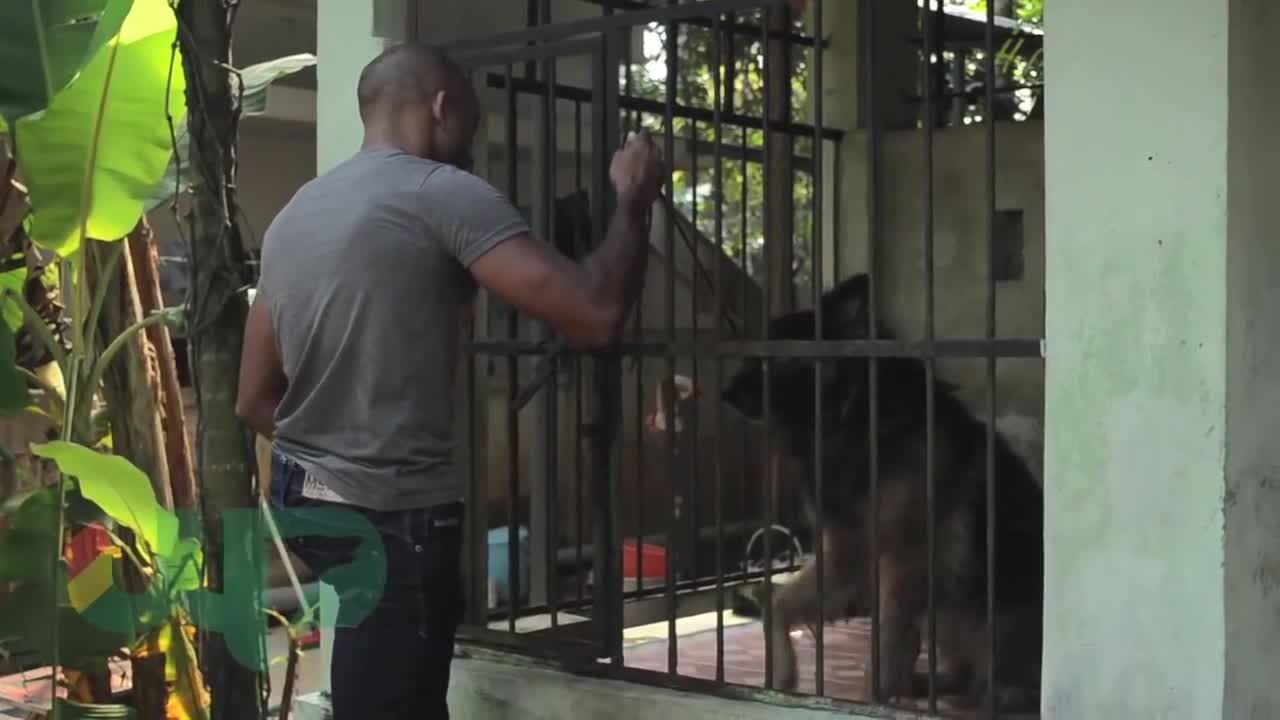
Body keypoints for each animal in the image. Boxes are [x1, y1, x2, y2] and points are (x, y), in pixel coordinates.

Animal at [721, 271, 1039, 707]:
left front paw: (873, 695)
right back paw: (927, 685)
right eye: (754, 356)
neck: (853, 421)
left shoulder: (904, 560)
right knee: (962, 672)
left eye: (782, 358)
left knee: (1002, 680)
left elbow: (886, 642)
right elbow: (779, 605)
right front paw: (783, 673)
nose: (724, 393)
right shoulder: (846, 553)